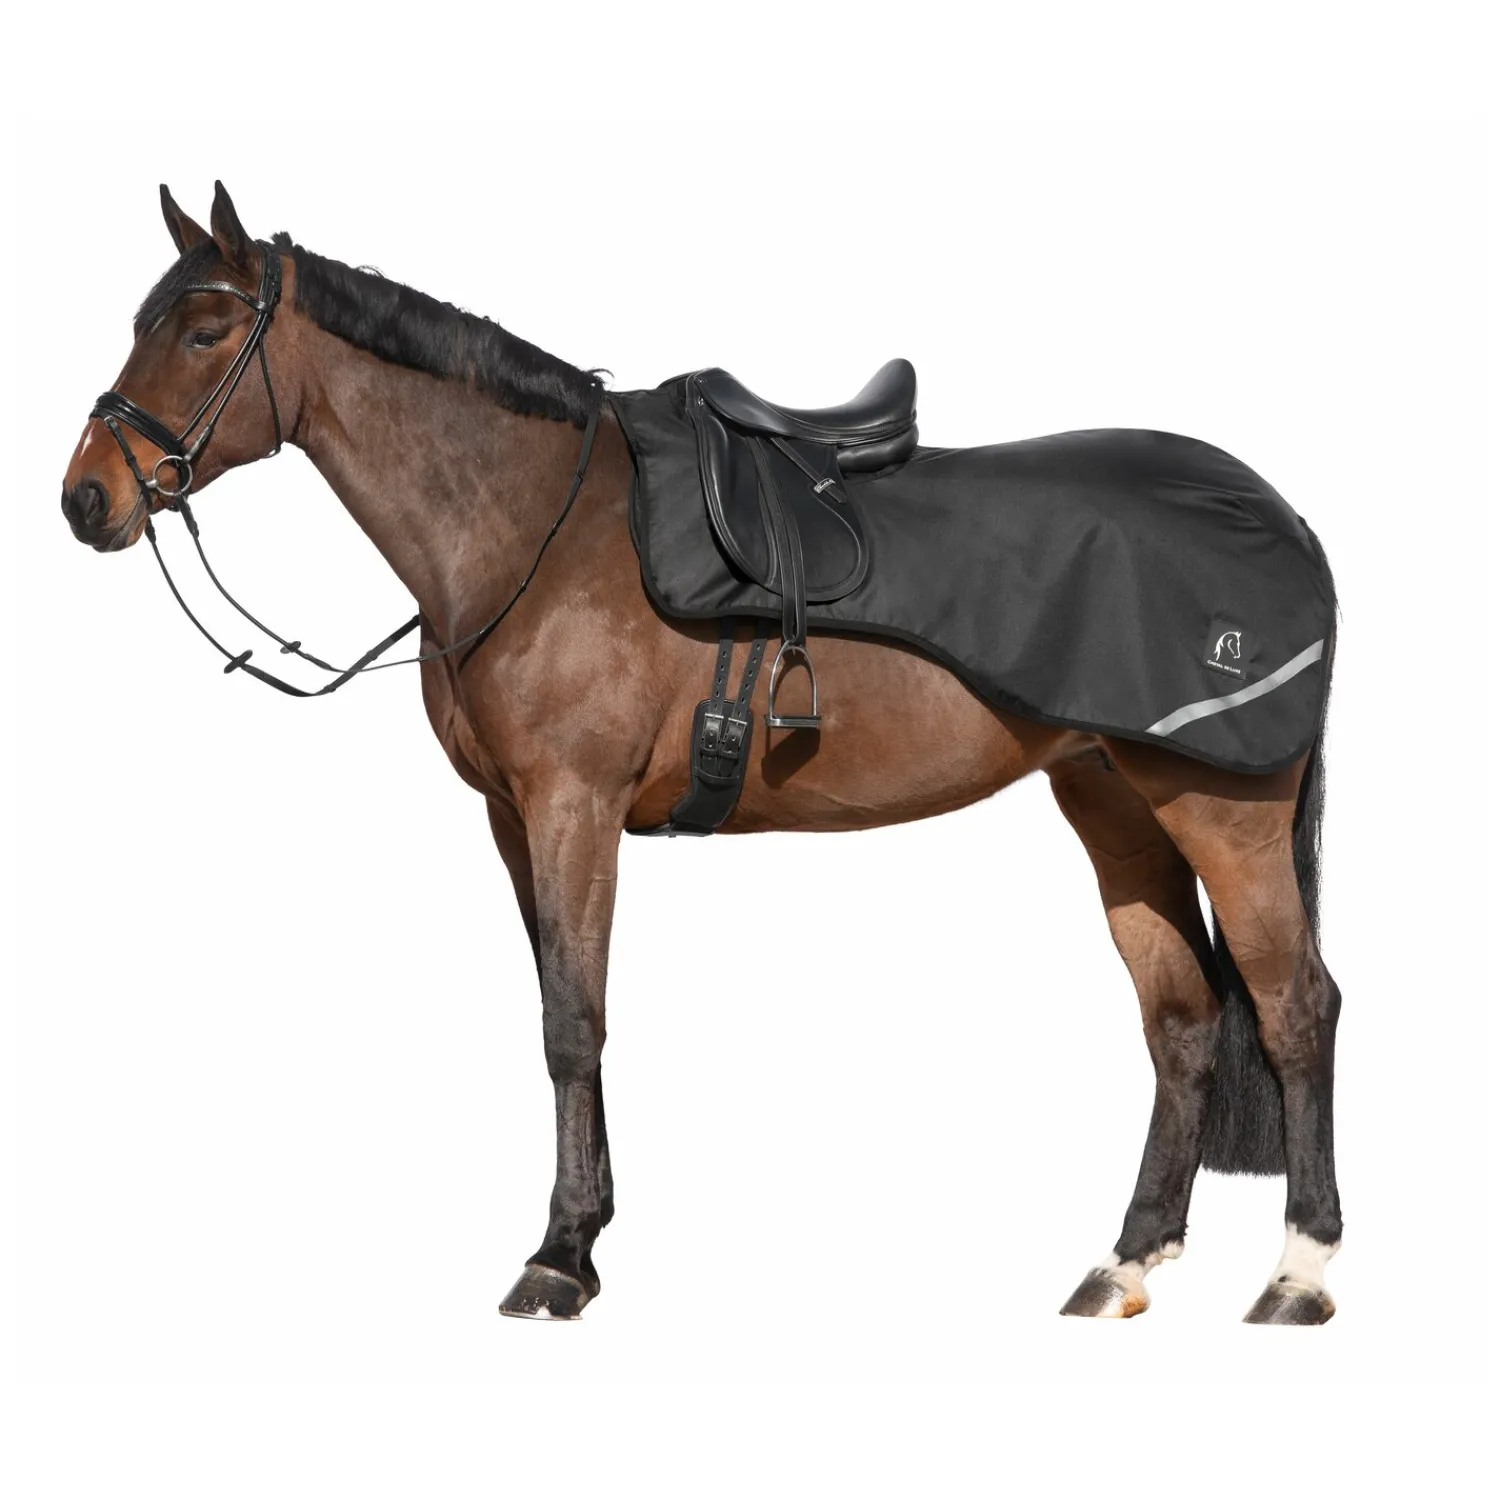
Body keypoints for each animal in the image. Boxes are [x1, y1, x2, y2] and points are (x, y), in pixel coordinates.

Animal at [59, 183, 1342, 1325]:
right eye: (140, 323)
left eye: (206, 331)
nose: (86, 499)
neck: (538, 527)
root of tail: (1279, 515)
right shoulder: (513, 820)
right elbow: (557, 1005)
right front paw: (582, 1235)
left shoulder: (573, 805)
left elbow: (574, 1023)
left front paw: (559, 1257)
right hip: (1112, 800)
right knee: (1182, 1020)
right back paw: (1124, 1263)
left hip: (1221, 811)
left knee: (1295, 1006)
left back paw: (1298, 1274)